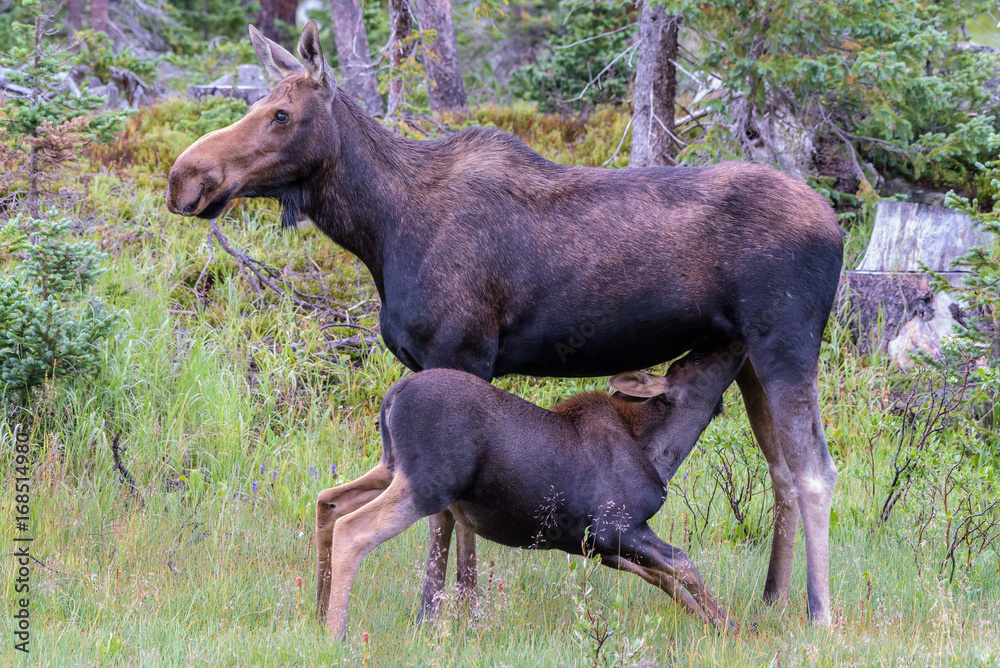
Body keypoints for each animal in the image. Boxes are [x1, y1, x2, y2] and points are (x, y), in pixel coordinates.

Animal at [316, 346, 747, 638]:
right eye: (695, 360)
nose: (736, 344)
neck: (659, 451)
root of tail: (393, 395)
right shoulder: (615, 527)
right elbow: (682, 564)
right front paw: (732, 628)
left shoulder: (597, 546)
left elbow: (663, 578)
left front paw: (714, 623)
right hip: (428, 484)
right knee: (353, 529)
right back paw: (335, 633)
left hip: (392, 467)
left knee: (328, 500)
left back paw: (318, 612)